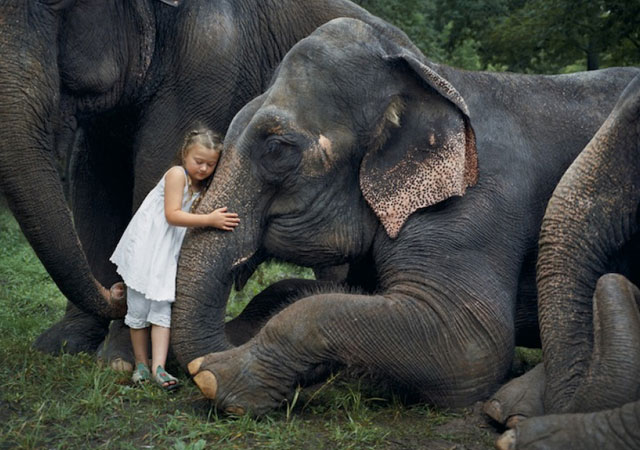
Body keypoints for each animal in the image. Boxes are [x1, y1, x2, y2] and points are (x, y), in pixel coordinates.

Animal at [0, 0, 380, 362]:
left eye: (55, 1)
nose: (117, 292)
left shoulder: (210, 63)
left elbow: (154, 171)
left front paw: (118, 359)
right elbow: (92, 187)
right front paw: (61, 345)